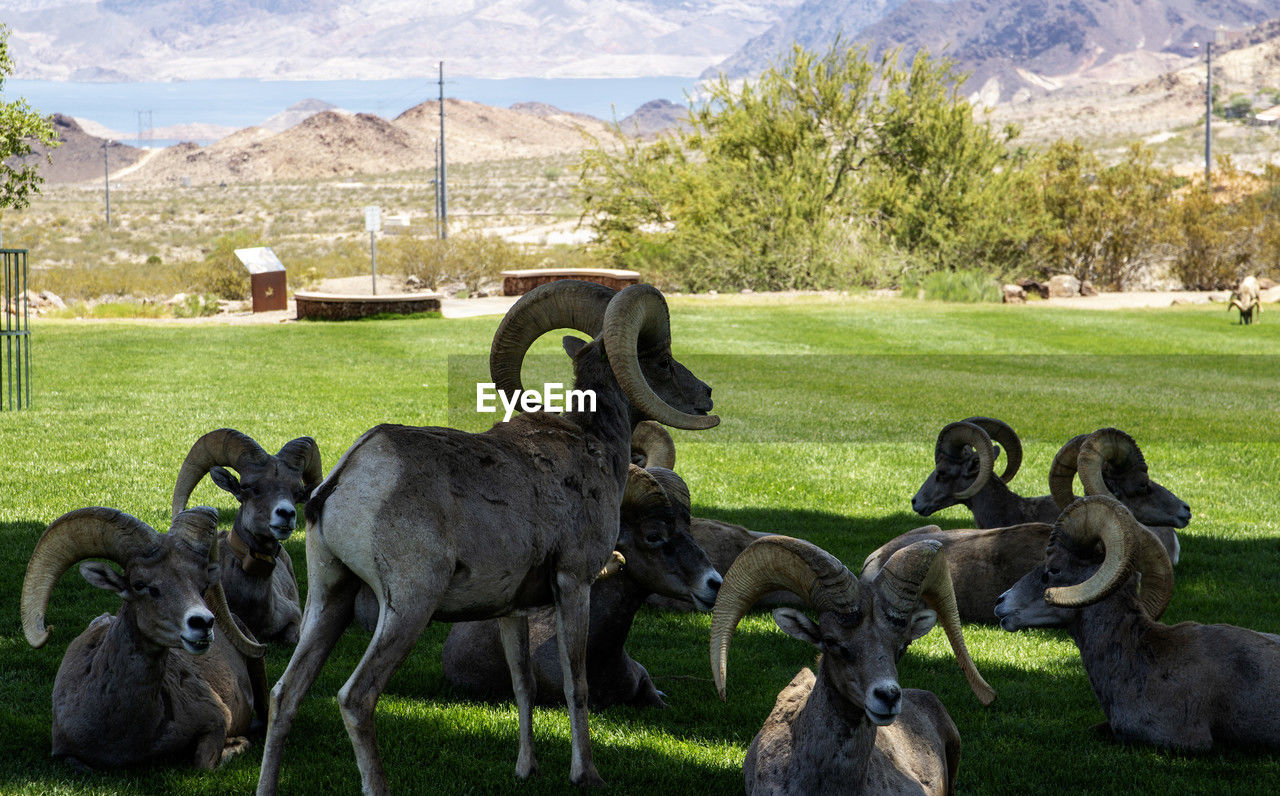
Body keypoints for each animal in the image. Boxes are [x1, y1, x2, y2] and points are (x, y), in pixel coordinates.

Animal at [20, 505, 268, 770]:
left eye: (202, 586)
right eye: (139, 585)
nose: (203, 623)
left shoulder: (218, 718)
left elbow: (203, 762)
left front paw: (237, 744)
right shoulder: (65, 754)